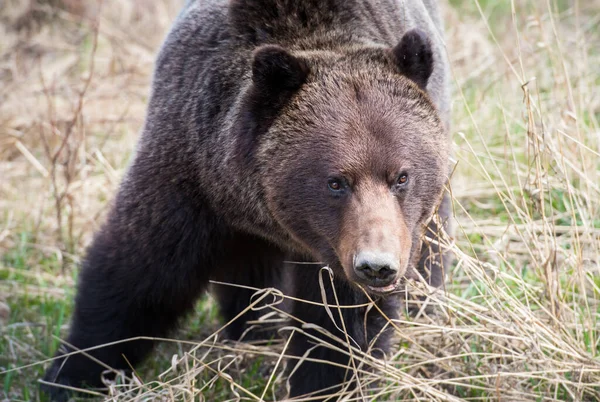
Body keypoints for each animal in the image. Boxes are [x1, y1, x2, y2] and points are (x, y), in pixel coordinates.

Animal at [41, 0, 450, 398]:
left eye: (402, 176)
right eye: (335, 182)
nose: (376, 266)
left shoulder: (352, 245)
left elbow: (340, 322)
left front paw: (322, 385)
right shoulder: (189, 170)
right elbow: (138, 274)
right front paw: (73, 373)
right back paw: (254, 330)